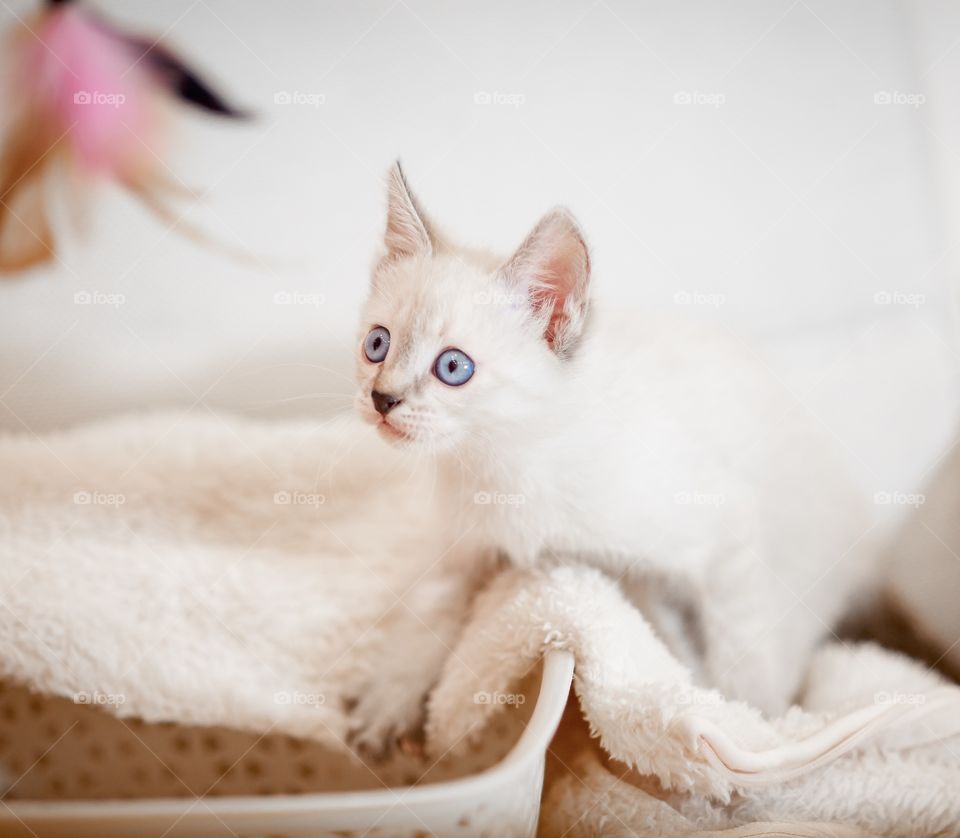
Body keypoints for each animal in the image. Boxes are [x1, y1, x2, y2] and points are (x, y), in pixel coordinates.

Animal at [352, 162, 872, 720]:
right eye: (377, 344)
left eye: (453, 368)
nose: (382, 399)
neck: (503, 460)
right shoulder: (463, 542)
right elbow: (430, 600)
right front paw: (387, 700)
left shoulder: (725, 531)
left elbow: (743, 647)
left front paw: (754, 720)